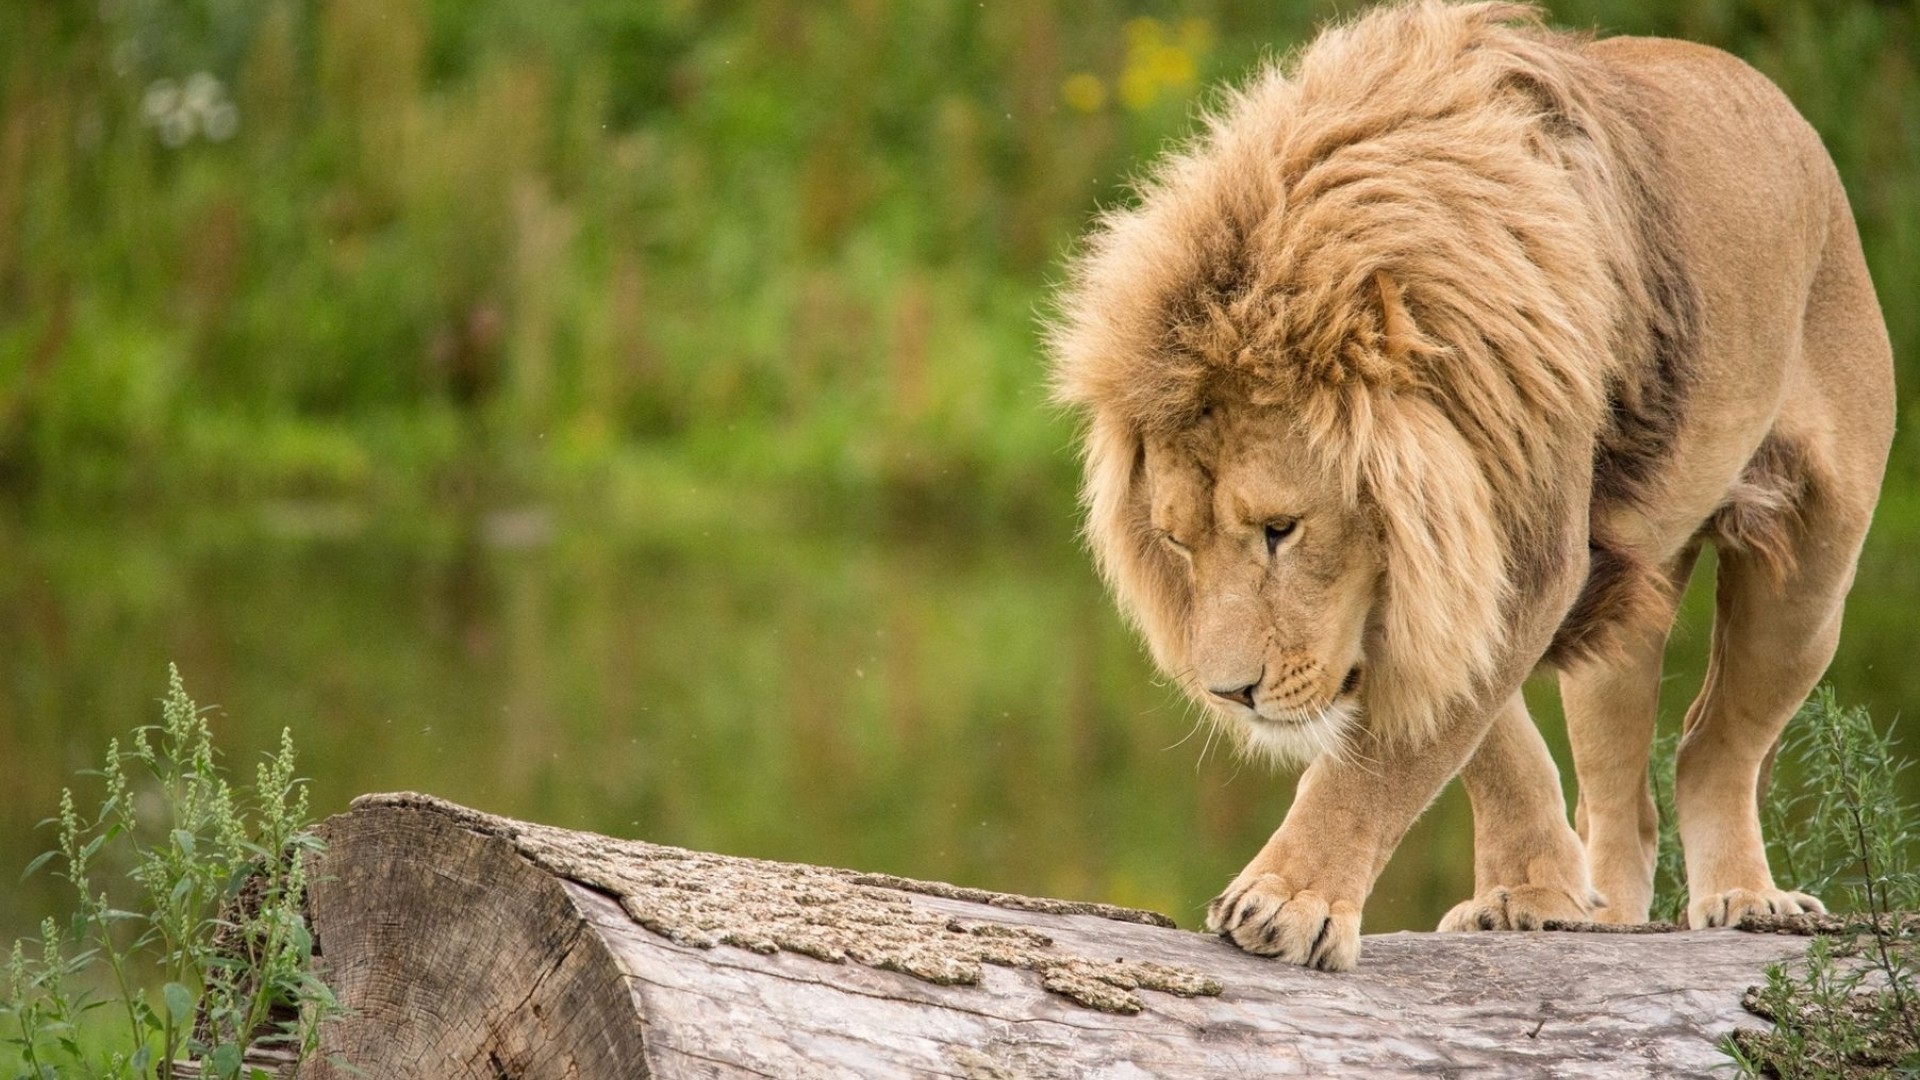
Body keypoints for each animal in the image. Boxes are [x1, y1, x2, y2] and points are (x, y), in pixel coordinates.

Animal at [1048, 0, 1893, 970]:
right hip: (1625, 631)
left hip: (1811, 579)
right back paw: (1610, 911)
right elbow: (1483, 740)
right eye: (1178, 541)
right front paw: (1533, 894)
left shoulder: (1527, 554)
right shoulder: (1463, 570)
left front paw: (1291, 900)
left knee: (1716, 744)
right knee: (1623, 792)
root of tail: (1786, 112)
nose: (1229, 694)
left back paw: (1749, 899)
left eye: (1281, 529)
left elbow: (1391, 754)